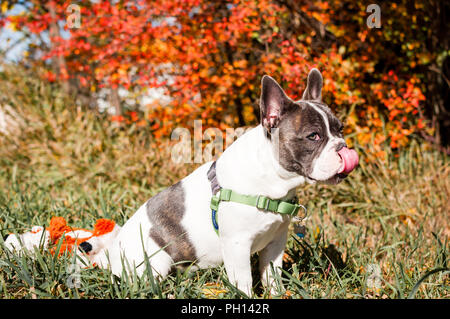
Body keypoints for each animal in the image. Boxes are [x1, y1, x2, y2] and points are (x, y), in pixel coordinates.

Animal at [83, 69, 358, 296]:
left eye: (341, 129)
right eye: (314, 136)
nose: (342, 146)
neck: (272, 180)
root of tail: (112, 252)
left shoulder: (275, 243)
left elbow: (272, 276)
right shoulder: (237, 245)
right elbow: (244, 282)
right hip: (155, 261)